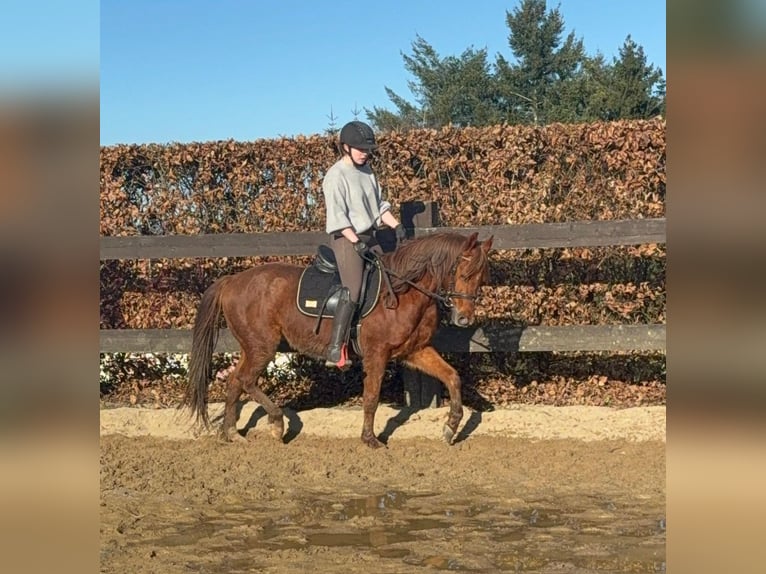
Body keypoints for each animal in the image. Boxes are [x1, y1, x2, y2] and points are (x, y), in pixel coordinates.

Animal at [182, 231, 494, 448]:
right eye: (463, 272)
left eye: (481, 278)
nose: (464, 319)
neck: (403, 291)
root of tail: (232, 281)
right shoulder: (377, 354)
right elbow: (371, 397)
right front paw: (370, 439)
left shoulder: (415, 351)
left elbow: (452, 377)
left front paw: (451, 428)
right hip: (262, 347)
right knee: (246, 380)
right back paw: (276, 424)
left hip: (251, 347)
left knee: (235, 382)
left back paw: (231, 433)